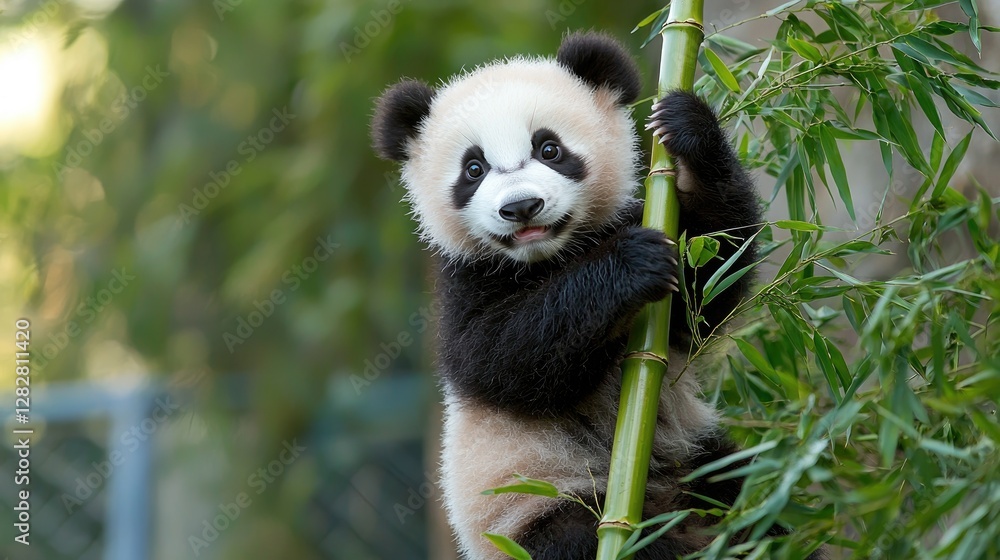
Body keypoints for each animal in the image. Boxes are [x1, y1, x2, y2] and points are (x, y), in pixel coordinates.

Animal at [372, 32, 782, 560]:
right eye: (473, 169)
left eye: (549, 149)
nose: (521, 207)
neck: (552, 255)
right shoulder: (464, 283)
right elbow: (507, 359)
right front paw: (631, 264)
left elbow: (710, 281)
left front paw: (687, 126)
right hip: (536, 511)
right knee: (577, 537)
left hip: (701, 460)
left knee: (756, 499)